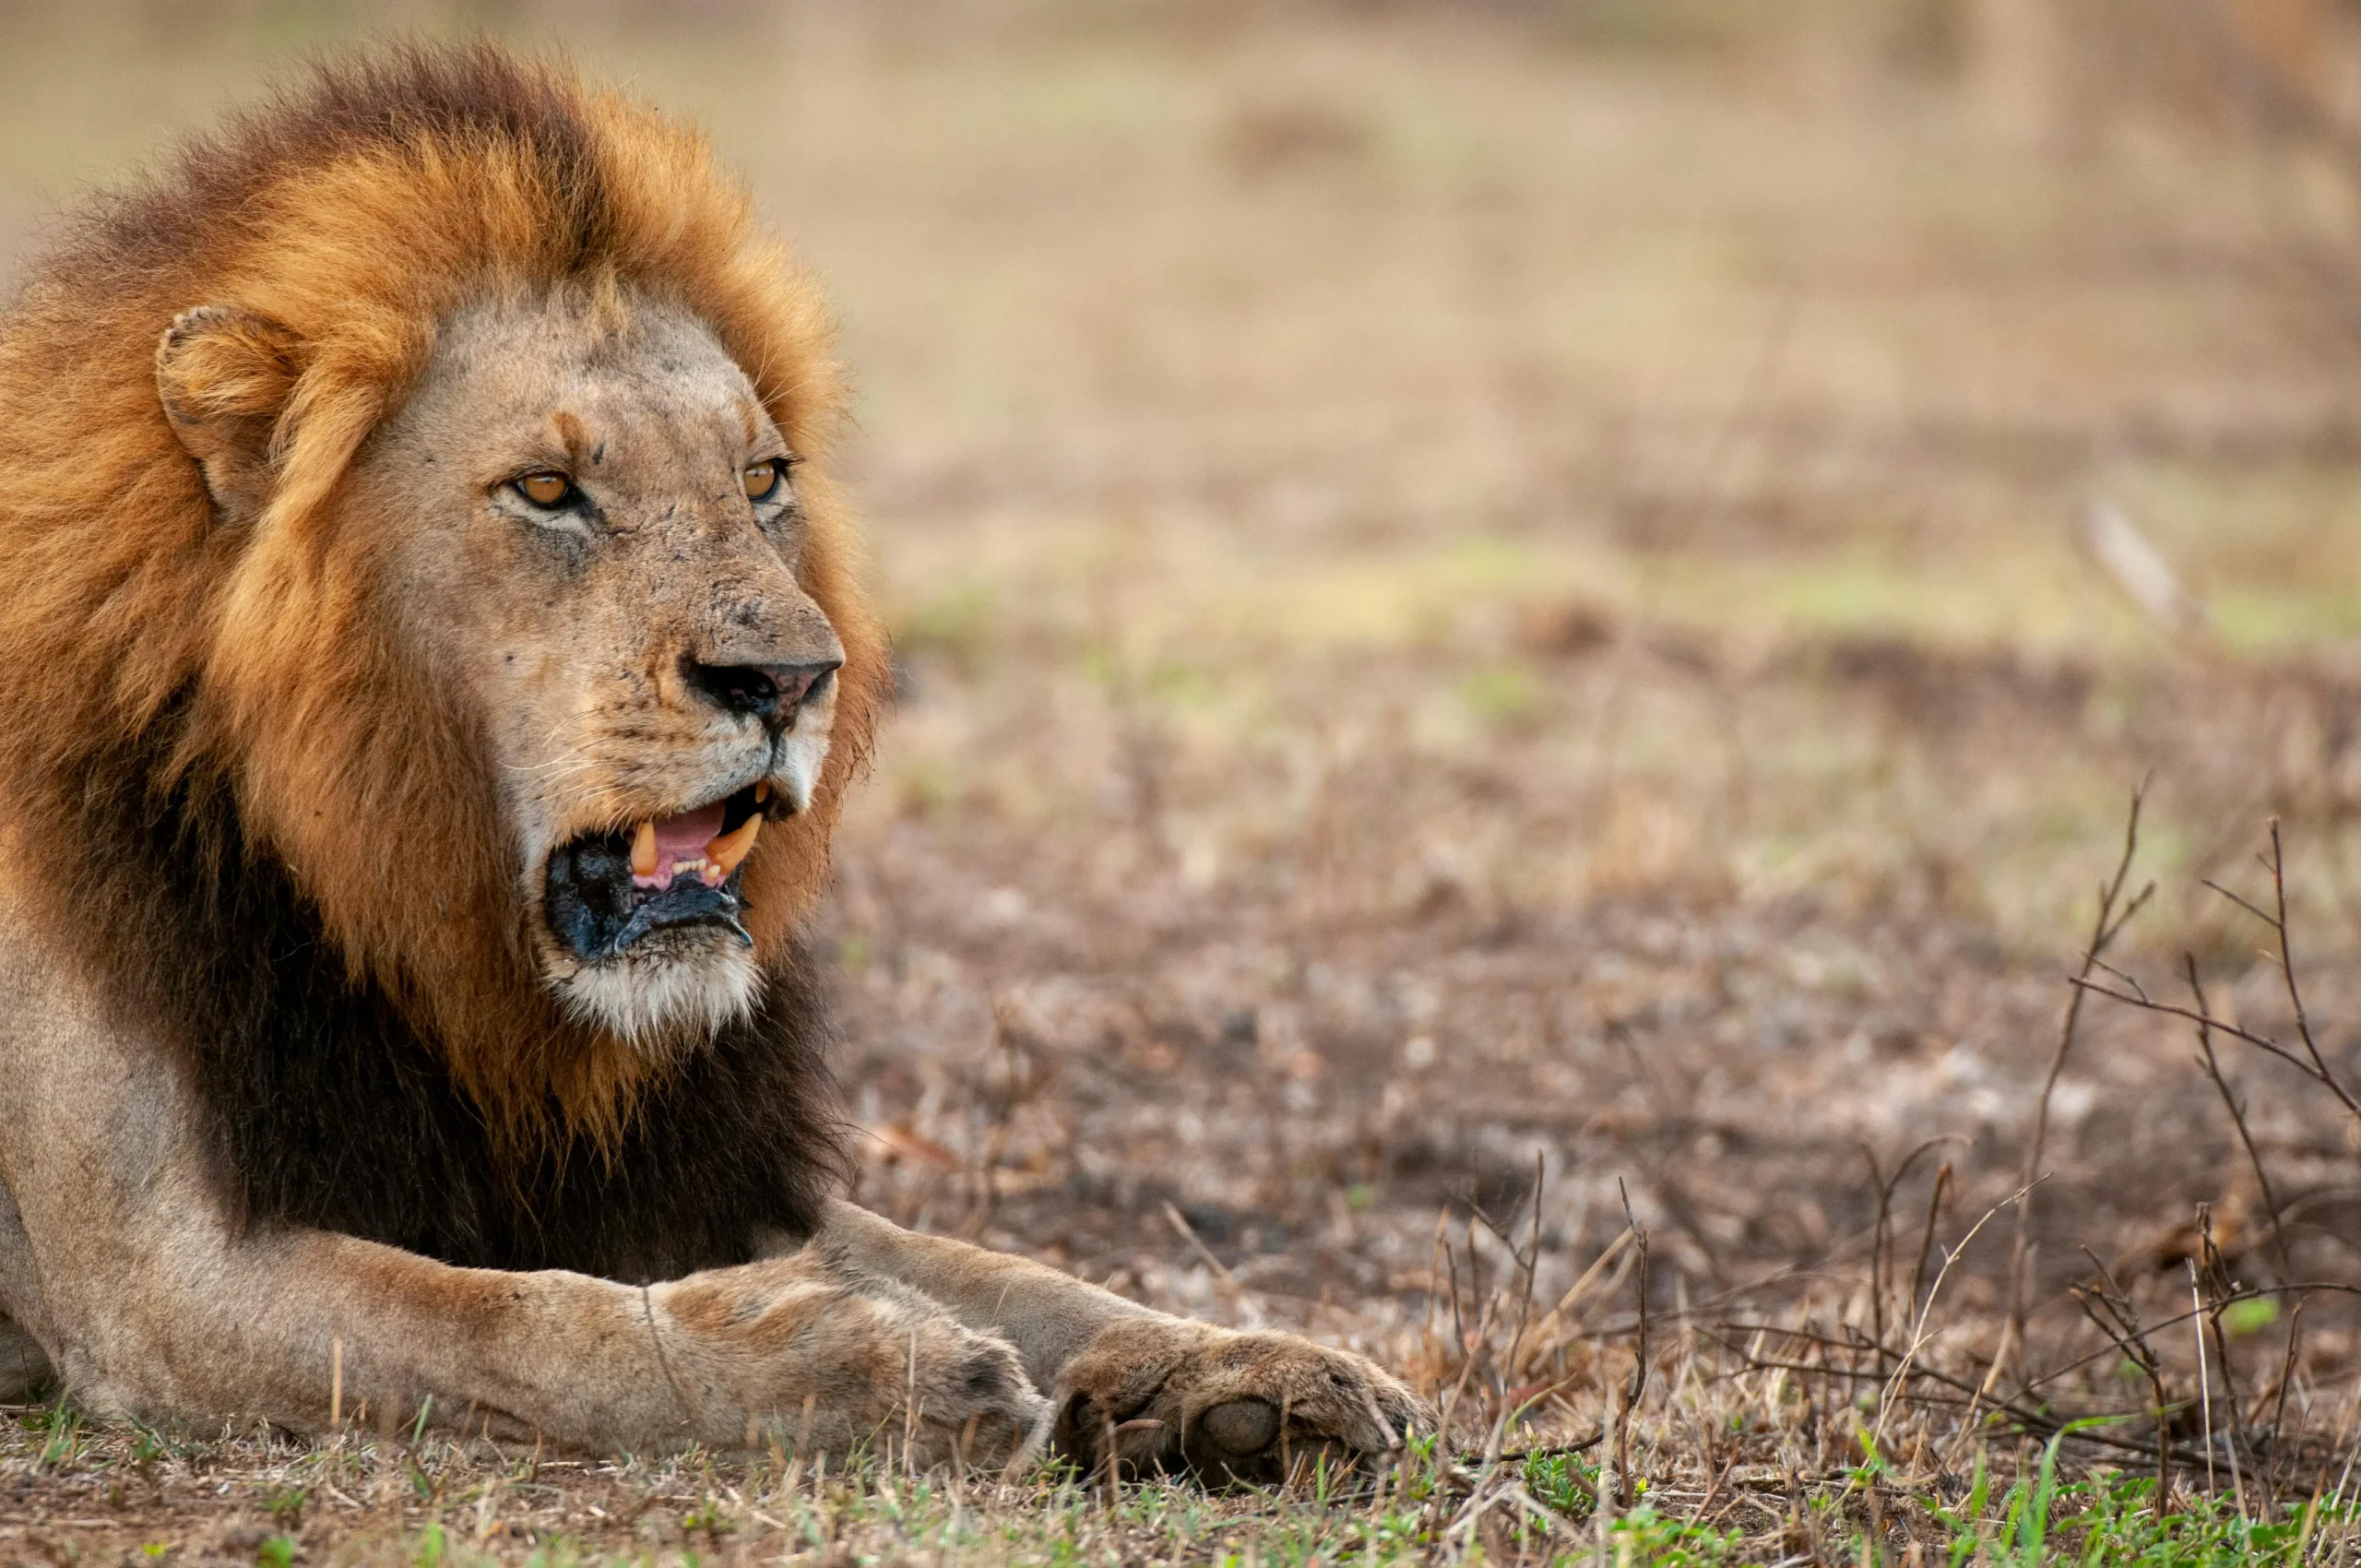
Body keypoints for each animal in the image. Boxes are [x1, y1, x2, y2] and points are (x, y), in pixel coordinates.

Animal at [0, 44, 1426, 1478]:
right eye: (547, 490)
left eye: (762, 479)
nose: (791, 678)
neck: (435, 947)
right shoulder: (153, 1280)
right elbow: (526, 1327)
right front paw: (876, 1363)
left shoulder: (688, 1170)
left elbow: (1008, 1269)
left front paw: (1241, 1365)